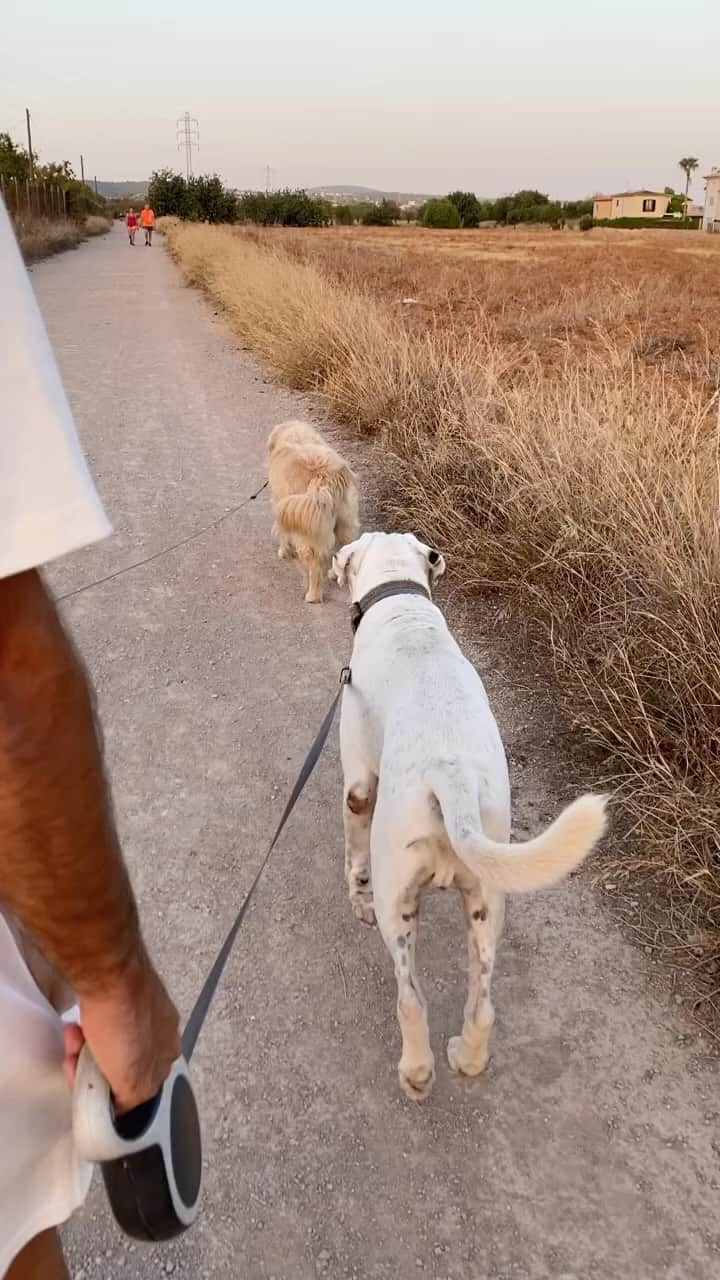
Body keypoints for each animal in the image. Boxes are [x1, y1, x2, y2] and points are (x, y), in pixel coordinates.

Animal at [266, 417, 358, 601]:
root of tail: (323, 478)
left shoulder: (281, 505)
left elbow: (283, 531)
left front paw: (284, 551)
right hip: (345, 521)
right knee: (345, 548)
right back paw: (333, 573)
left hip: (307, 530)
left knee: (314, 566)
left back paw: (313, 596)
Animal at [330, 529, 604, 1100]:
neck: (402, 603)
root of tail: (448, 776)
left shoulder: (358, 787)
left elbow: (353, 859)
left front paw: (355, 902)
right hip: (487, 903)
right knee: (482, 1004)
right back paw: (467, 1056)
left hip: (399, 899)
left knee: (410, 998)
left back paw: (417, 1072)